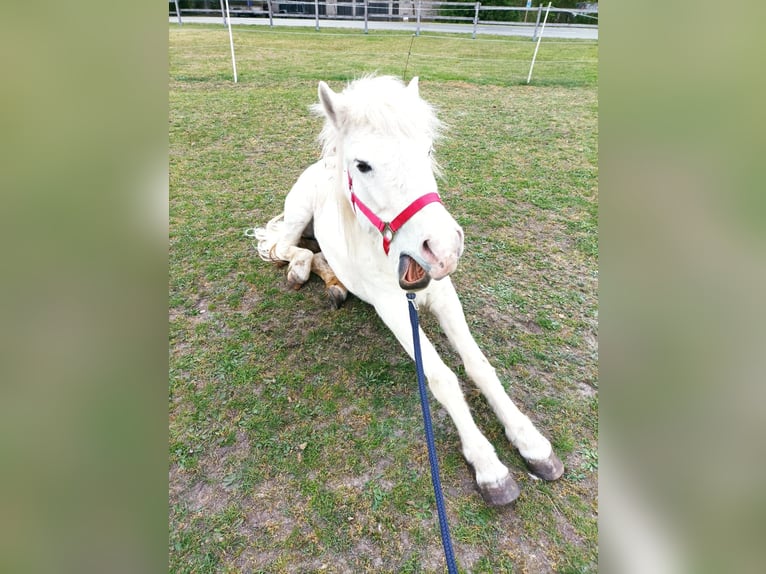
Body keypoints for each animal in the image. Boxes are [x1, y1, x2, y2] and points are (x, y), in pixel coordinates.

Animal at [254, 75, 563, 506]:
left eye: (428, 149)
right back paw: (300, 269)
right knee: (282, 248)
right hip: (298, 217)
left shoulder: (444, 294)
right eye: (363, 165)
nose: (444, 248)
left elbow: (479, 365)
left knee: (316, 255)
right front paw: (489, 467)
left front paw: (531, 442)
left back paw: (334, 284)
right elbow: (443, 378)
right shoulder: (394, 308)